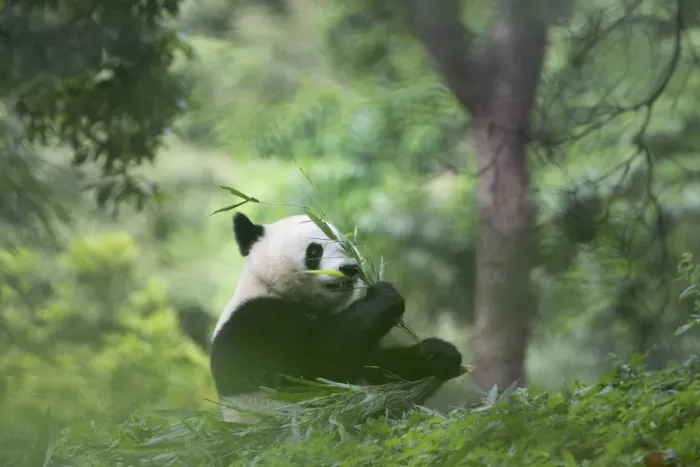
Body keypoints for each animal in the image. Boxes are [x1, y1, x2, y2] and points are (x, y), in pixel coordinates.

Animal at [210, 212, 463, 423]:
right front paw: (384, 297)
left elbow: (375, 367)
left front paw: (439, 354)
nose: (350, 268)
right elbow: (318, 361)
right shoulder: (256, 324)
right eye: (314, 251)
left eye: (345, 245)